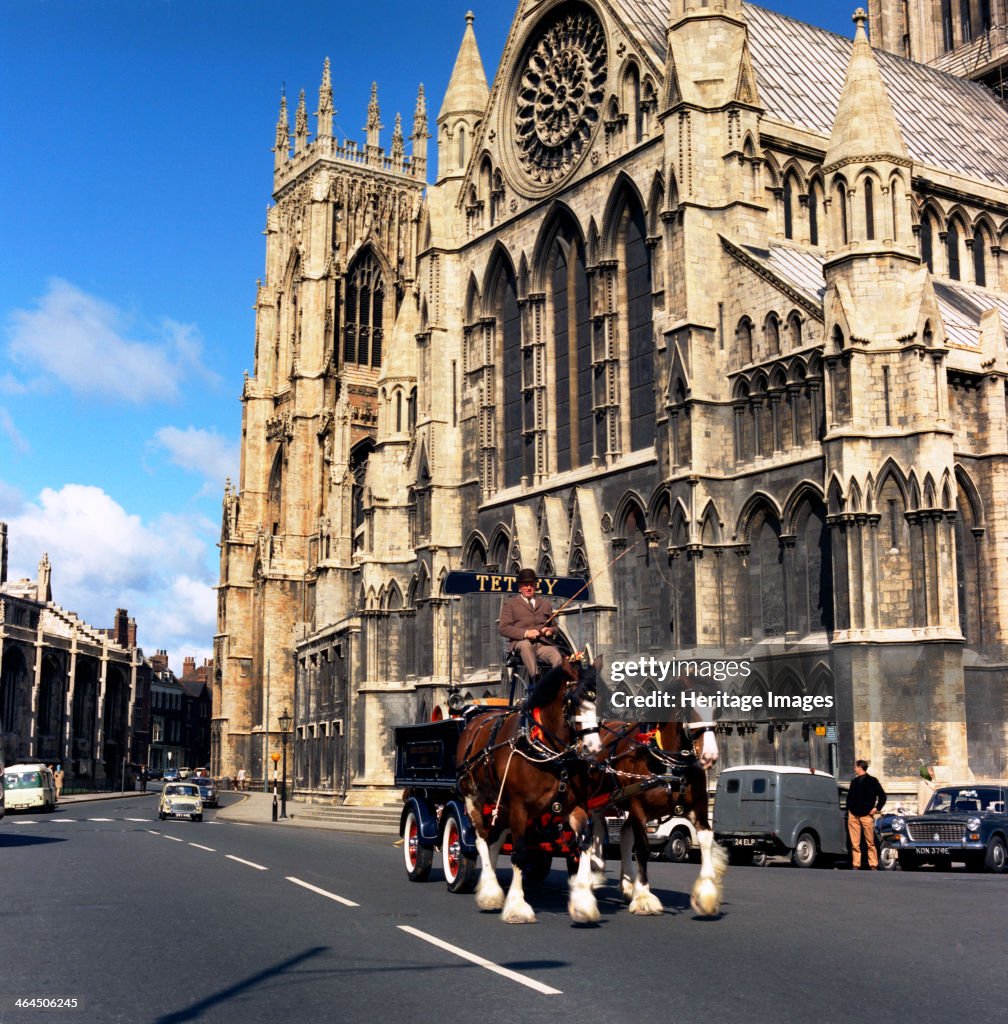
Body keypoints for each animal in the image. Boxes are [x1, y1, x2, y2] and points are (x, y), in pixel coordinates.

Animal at [458, 655, 606, 929]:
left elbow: (584, 842)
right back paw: (490, 891)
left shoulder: (575, 806)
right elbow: (519, 853)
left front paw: (583, 903)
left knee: (495, 838)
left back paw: (490, 885)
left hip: (500, 802)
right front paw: (517, 907)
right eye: (573, 701)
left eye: (598, 698)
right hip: (474, 797)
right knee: (481, 838)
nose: (593, 748)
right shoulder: (520, 808)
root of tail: (474, 720)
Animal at [590, 716, 725, 917]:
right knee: (596, 827)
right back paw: (596, 872)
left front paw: (707, 894)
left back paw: (628, 885)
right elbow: (642, 849)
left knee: (623, 834)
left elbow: (706, 840)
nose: (710, 755)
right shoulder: (638, 808)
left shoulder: (698, 809)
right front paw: (644, 897)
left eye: (718, 711)